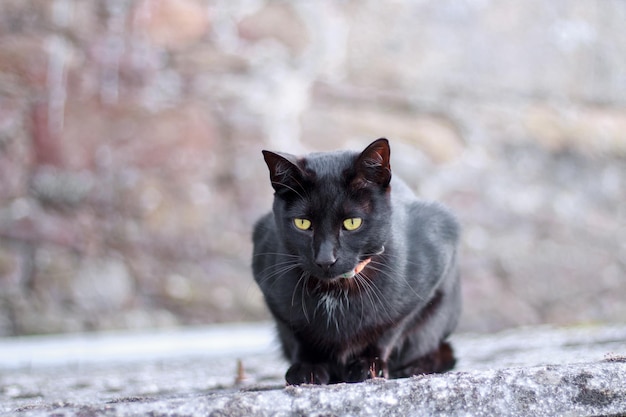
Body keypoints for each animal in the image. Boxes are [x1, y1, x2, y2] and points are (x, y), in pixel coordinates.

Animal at [251, 139, 460, 384]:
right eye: (302, 223)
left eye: (352, 223)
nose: (325, 259)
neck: (336, 291)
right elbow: (296, 333)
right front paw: (307, 368)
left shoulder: (432, 265)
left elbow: (391, 328)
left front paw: (370, 365)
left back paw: (415, 367)